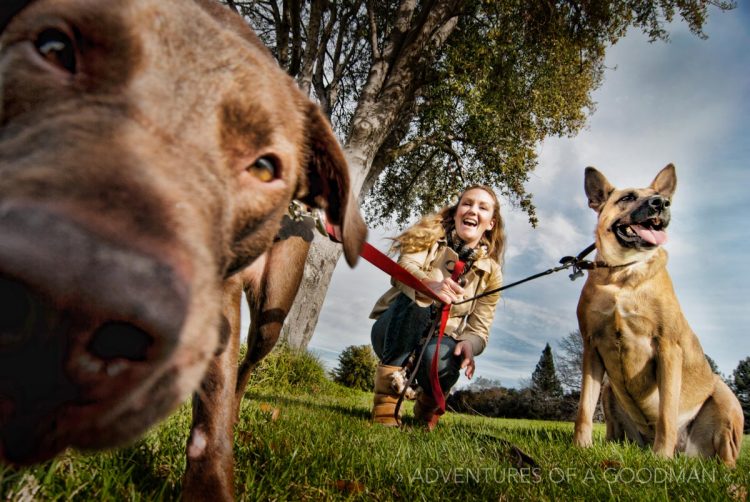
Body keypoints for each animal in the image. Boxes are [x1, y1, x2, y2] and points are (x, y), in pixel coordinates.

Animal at [0, 0, 366, 490]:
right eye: (54, 48)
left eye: (266, 167)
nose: (62, 314)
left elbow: (213, 413)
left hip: (273, 310)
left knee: (246, 368)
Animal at [576, 165, 748, 466]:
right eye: (628, 197)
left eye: (661, 197)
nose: (661, 203)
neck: (623, 273)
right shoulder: (592, 348)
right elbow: (584, 407)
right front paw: (581, 447)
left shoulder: (668, 348)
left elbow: (667, 413)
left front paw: (660, 459)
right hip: (609, 390)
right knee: (613, 434)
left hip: (725, 400)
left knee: (726, 457)